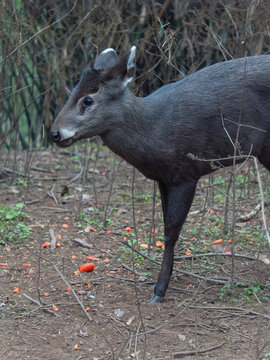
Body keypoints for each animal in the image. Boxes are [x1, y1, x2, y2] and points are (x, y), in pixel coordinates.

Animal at [51, 46, 270, 302]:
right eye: (73, 92)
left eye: (88, 99)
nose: (55, 133)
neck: (156, 130)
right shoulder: (164, 179)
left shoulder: (186, 173)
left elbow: (170, 232)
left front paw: (159, 290)